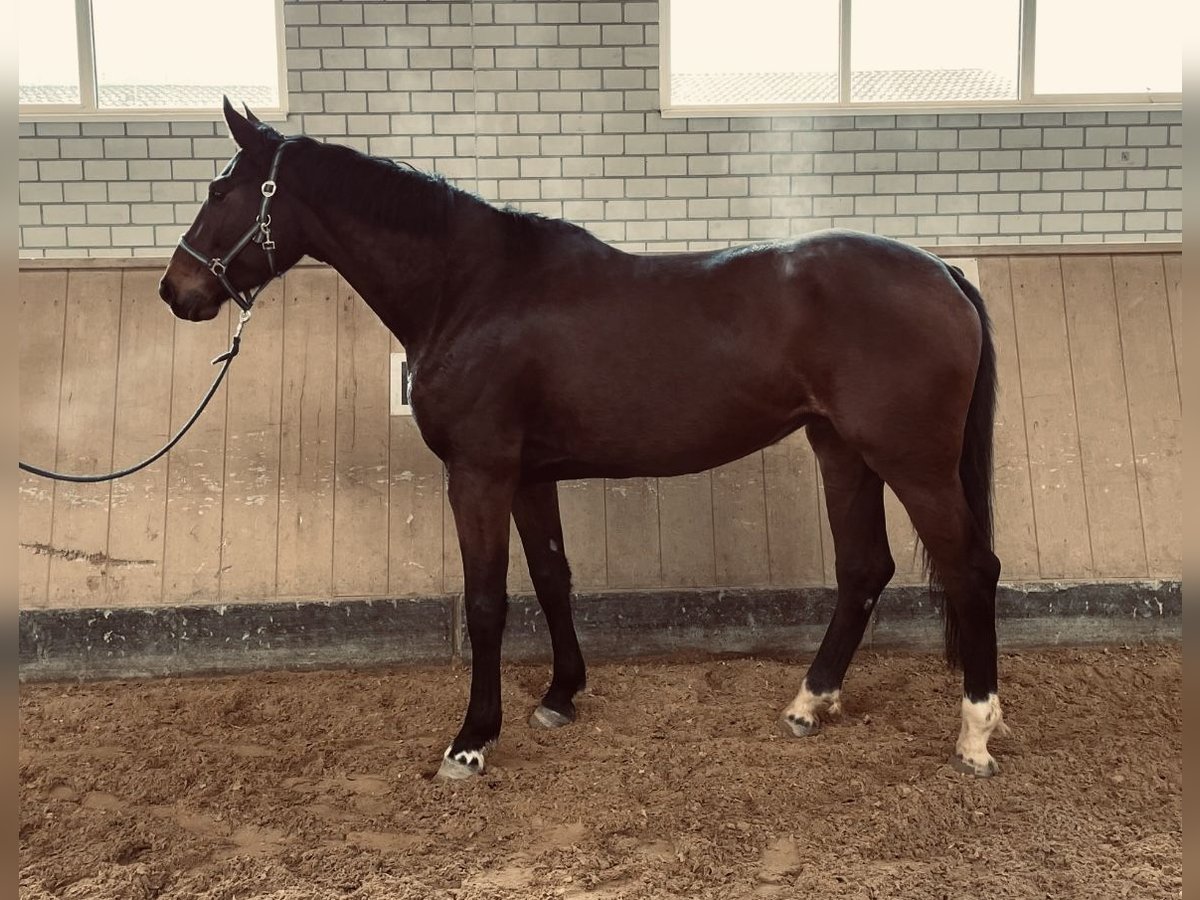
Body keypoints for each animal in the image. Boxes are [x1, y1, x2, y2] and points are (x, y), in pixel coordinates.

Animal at [157, 102, 1003, 782]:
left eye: (220, 192)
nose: (175, 290)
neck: (469, 290)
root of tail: (944, 272)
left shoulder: (480, 473)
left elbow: (488, 600)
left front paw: (472, 740)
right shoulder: (530, 476)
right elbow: (552, 577)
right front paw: (561, 696)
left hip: (913, 462)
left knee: (970, 568)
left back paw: (975, 734)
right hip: (841, 451)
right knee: (865, 567)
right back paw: (809, 703)